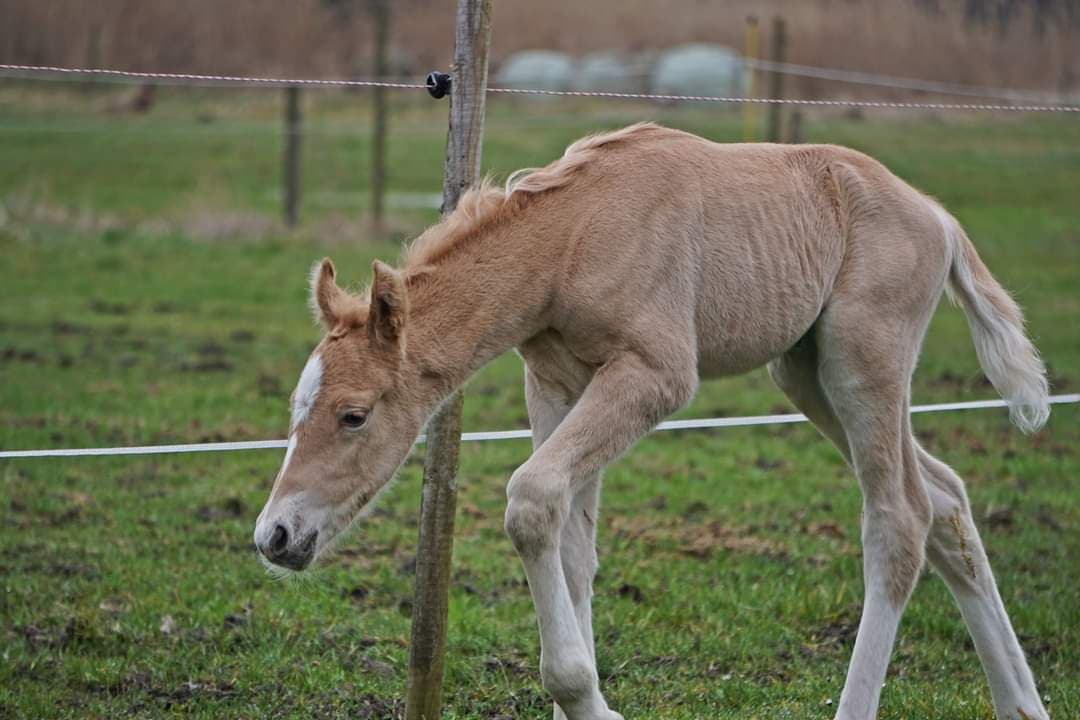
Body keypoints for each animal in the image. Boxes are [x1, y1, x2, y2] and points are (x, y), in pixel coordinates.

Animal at [250, 125, 1045, 720]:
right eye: (297, 408)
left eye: (354, 415)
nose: (275, 536)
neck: (574, 237)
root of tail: (938, 216)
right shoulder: (557, 382)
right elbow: (572, 540)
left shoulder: (655, 374)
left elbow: (532, 500)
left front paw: (583, 695)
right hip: (805, 371)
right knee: (944, 498)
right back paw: (1022, 703)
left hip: (862, 361)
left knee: (900, 517)